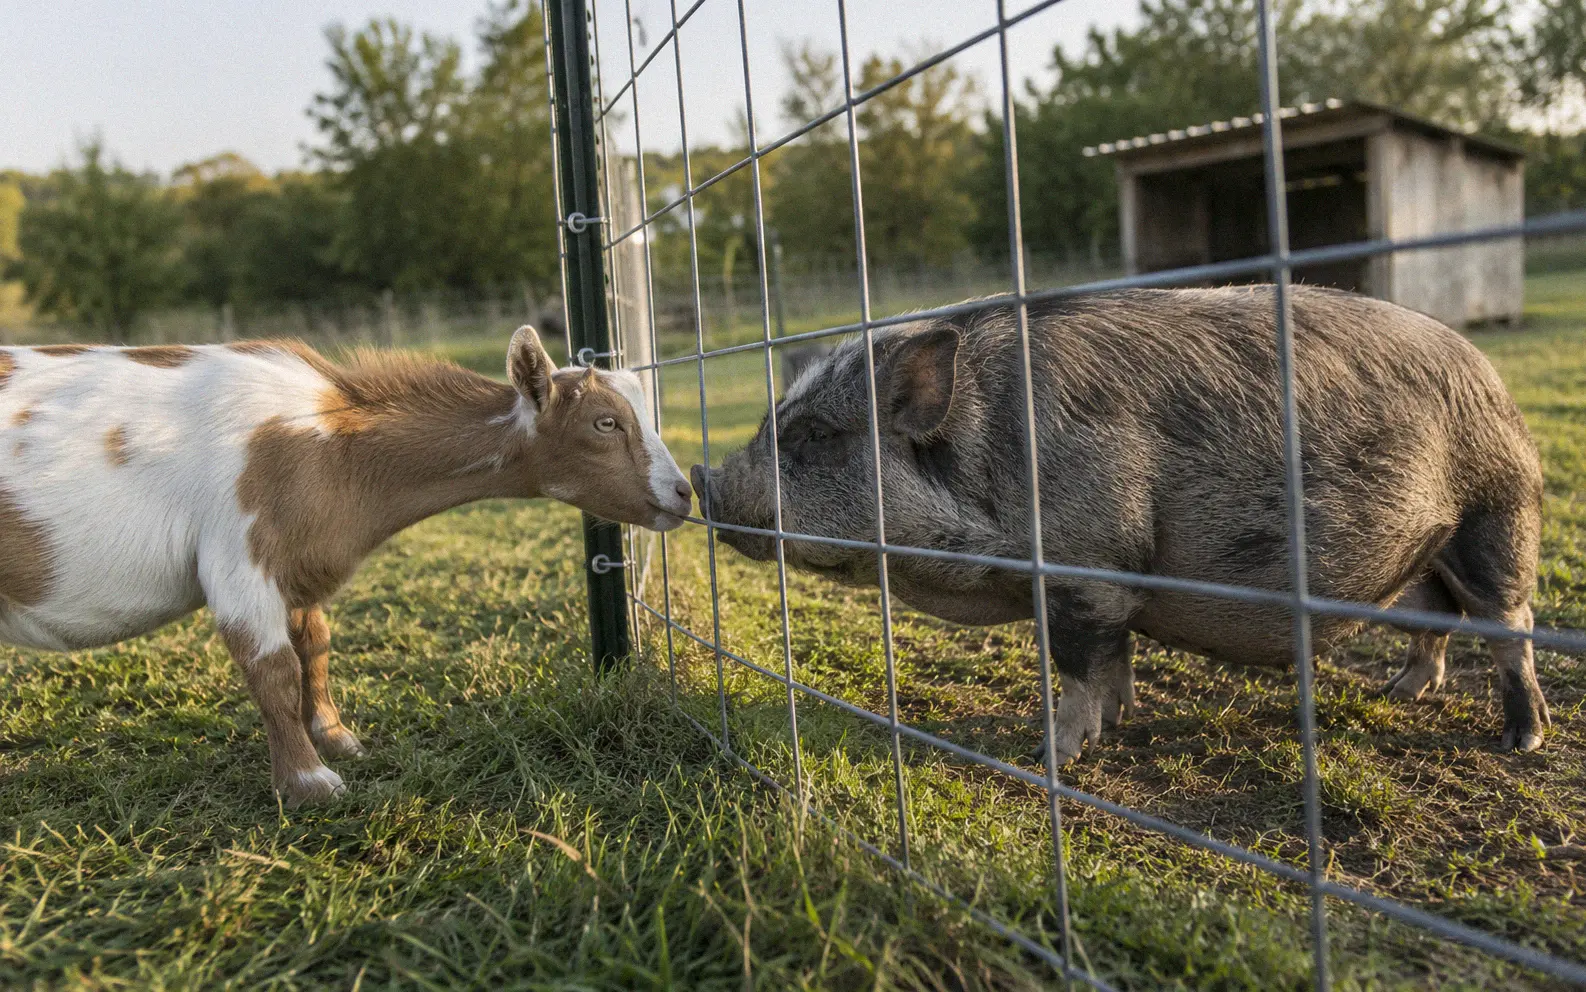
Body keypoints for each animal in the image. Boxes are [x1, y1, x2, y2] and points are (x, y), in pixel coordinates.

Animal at [691, 285, 1551, 763]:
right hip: (1424, 554)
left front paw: (1055, 751)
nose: (705, 481)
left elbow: (1076, 666)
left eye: (813, 436)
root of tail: (1491, 374)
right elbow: (1115, 659)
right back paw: (1400, 692)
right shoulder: (1107, 585)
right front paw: (1121, 718)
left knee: (1510, 624)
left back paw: (1521, 739)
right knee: (1435, 619)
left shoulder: (1089, 564)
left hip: (1496, 514)